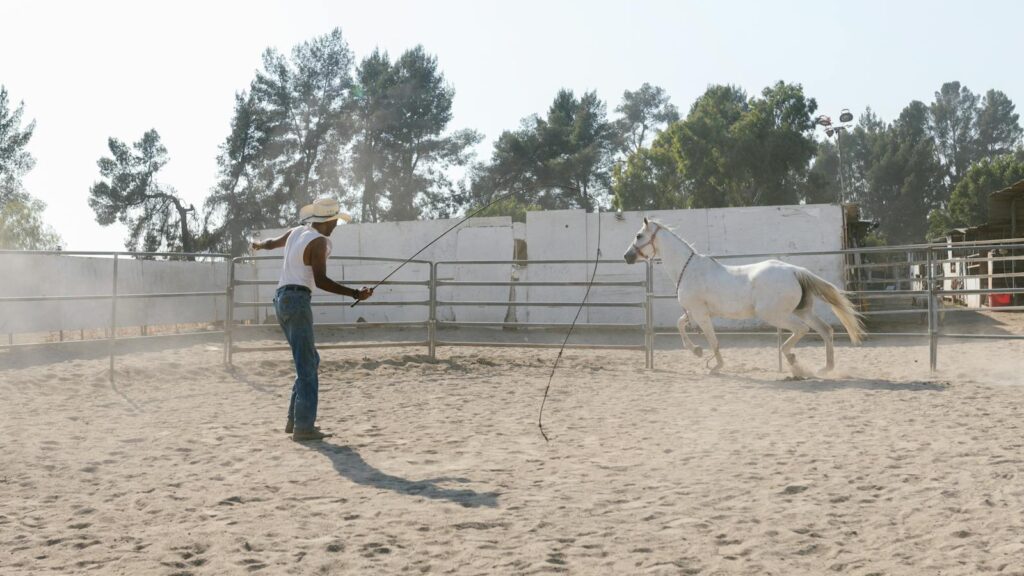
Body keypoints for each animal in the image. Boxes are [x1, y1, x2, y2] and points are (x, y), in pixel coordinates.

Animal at [623, 218, 864, 376]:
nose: (627, 256)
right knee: (826, 330)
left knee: (802, 330)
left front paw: (715, 365)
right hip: (802, 310)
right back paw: (825, 368)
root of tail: (795, 271)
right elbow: (680, 325)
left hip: (774, 315)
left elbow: (712, 339)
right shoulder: (694, 312)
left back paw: (793, 360)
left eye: (639, 235)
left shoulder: (700, 314)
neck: (688, 269)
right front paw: (698, 352)